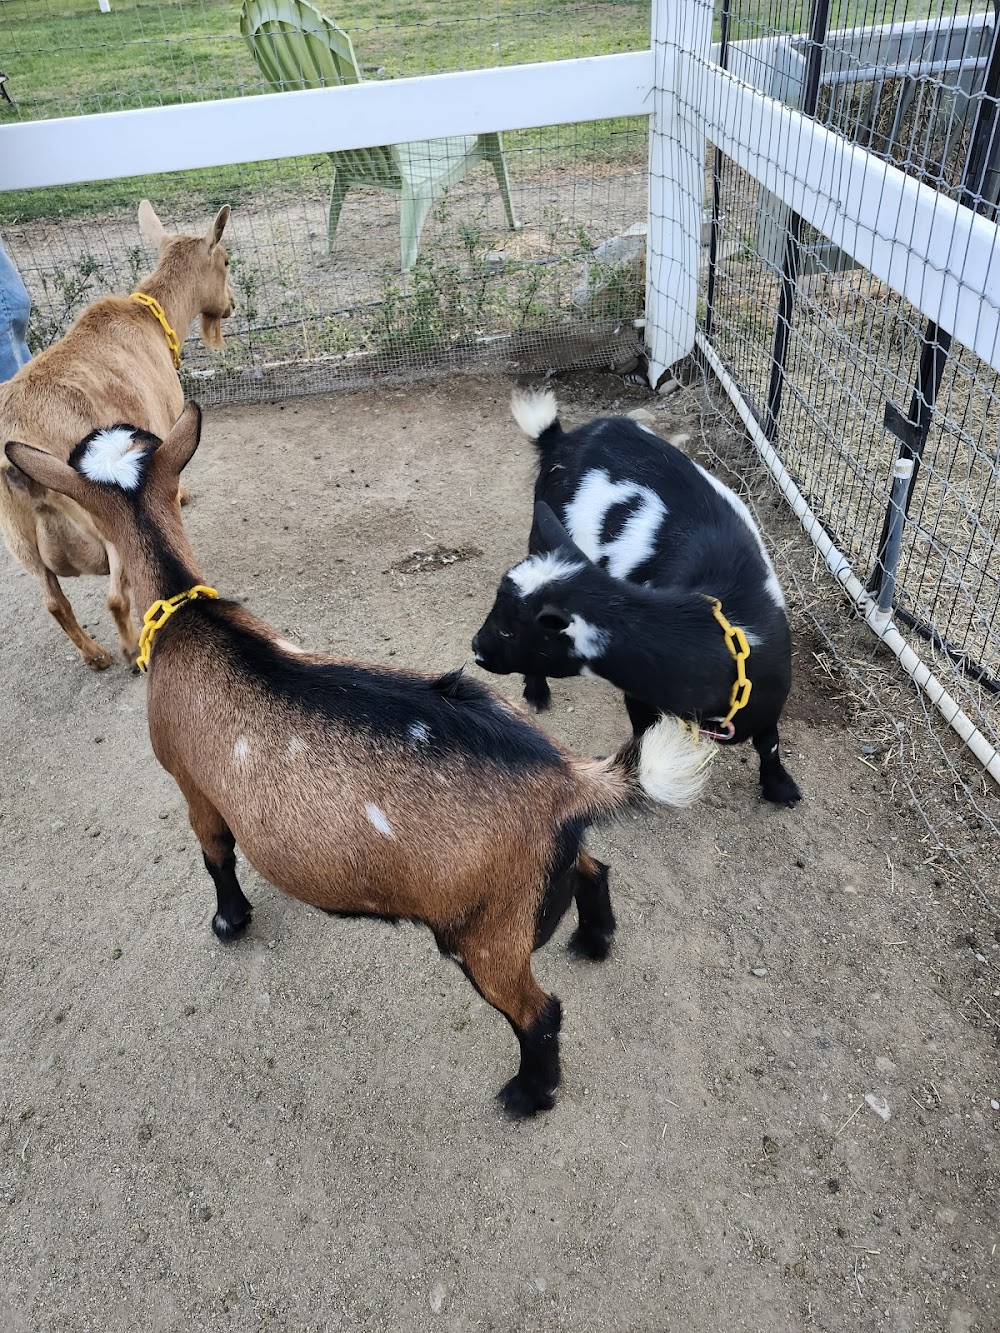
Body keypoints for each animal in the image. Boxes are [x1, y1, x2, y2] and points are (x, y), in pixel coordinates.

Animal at [0, 200, 235, 670]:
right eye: (225, 261)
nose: (232, 305)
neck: (150, 320)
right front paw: (182, 495)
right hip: (100, 521)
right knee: (114, 598)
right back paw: (127, 649)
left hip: (22, 545)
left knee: (55, 603)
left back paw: (96, 656)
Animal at [6, 404, 712, 1117]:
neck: (190, 619)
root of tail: (570, 780)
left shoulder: (191, 782)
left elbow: (215, 854)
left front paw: (230, 921)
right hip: (542, 872)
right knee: (596, 871)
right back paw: (593, 943)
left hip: (487, 930)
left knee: (538, 1013)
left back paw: (527, 1093)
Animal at [471, 390, 801, 807]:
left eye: (510, 632)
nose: (476, 649)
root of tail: (562, 439)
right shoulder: (640, 701)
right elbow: (644, 743)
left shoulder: (771, 700)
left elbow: (769, 742)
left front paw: (780, 786)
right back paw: (536, 692)